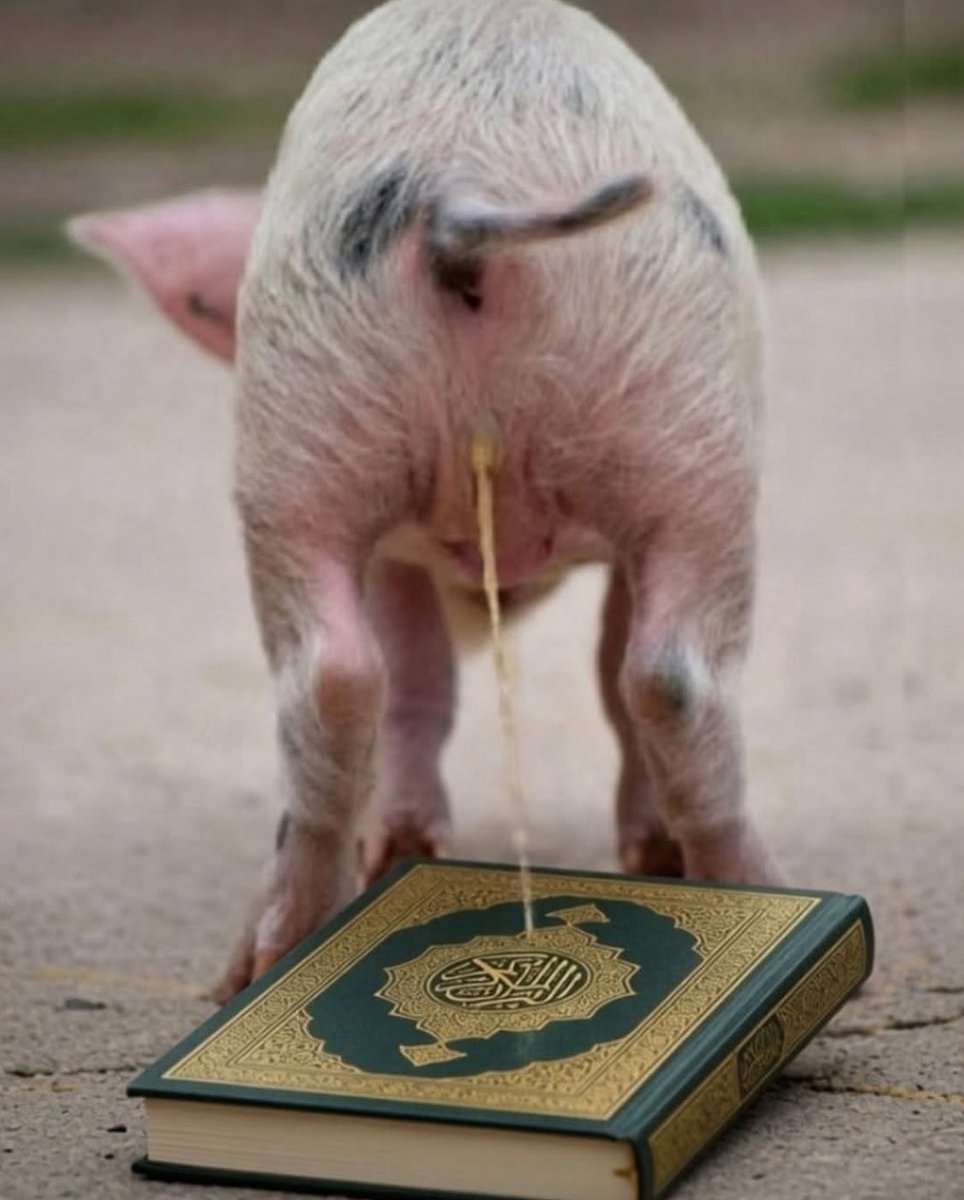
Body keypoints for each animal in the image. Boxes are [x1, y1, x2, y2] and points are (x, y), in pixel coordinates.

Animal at [70, 0, 780, 1003]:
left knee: (335, 676)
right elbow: (546, 669)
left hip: (307, 420)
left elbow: (461, 671)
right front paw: (648, 856)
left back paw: (265, 961)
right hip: (688, 447)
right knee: (668, 676)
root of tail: (459, 189)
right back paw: (748, 888)